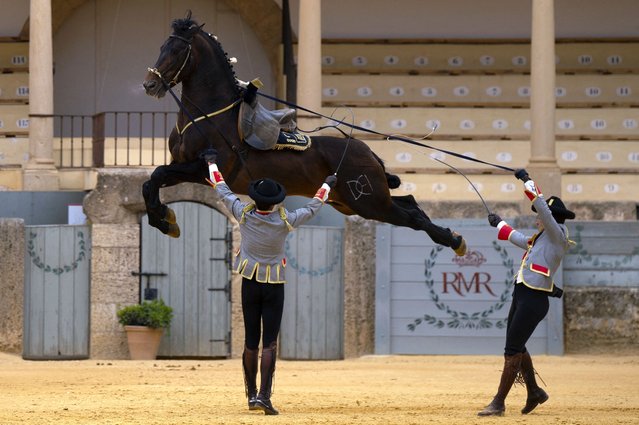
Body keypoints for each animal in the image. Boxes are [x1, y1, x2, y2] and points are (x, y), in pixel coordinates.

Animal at [142, 14, 468, 255]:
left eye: (176, 50)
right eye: (160, 47)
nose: (149, 85)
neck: (210, 115)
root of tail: (367, 151)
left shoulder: (203, 168)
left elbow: (156, 174)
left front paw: (164, 219)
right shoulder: (186, 167)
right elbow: (150, 182)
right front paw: (164, 219)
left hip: (371, 202)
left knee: (412, 216)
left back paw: (454, 240)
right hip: (355, 203)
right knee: (411, 203)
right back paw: (450, 236)